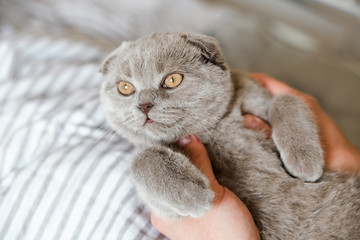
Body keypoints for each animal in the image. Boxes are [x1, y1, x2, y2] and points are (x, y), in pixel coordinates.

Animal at [100, 32, 360, 239]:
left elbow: (286, 100)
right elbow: (142, 158)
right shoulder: (166, 213)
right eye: (125, 88)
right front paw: (194, 195)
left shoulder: (256, 96)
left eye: (172, 80)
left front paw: (304, 163)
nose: (143, 105)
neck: (214, 130)